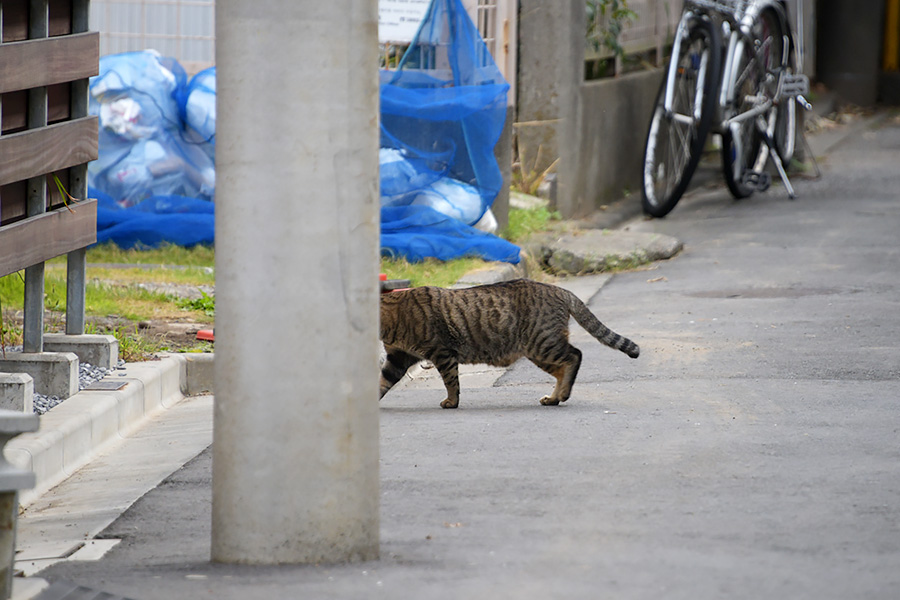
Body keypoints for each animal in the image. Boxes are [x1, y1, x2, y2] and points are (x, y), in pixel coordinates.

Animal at [380, 280, 640, 410]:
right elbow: (382, 382)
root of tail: (560, 289)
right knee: (562, 368)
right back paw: (554, 397)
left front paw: (452, 402)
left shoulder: (442, 353)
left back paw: (563, 394)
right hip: (538, 351)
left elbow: (451, 382)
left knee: (575, 355)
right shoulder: (398, 358)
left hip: (543, 343)